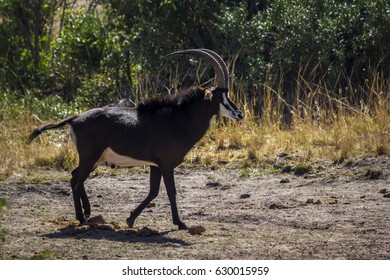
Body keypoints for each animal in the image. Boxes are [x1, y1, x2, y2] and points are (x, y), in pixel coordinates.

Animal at [27, 49, 242, 230]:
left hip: (96, 158)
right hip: (90, 156)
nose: (239, 114)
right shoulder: (166, 164)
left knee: (75, 176)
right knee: (76, 179)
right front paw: (180, 223)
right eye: (220, 97)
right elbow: (170, 191)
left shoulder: (156, 165)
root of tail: (75, 118)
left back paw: (87, 213)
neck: (177, 119)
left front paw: (130, 219)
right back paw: (81, 218)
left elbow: (153, 192)